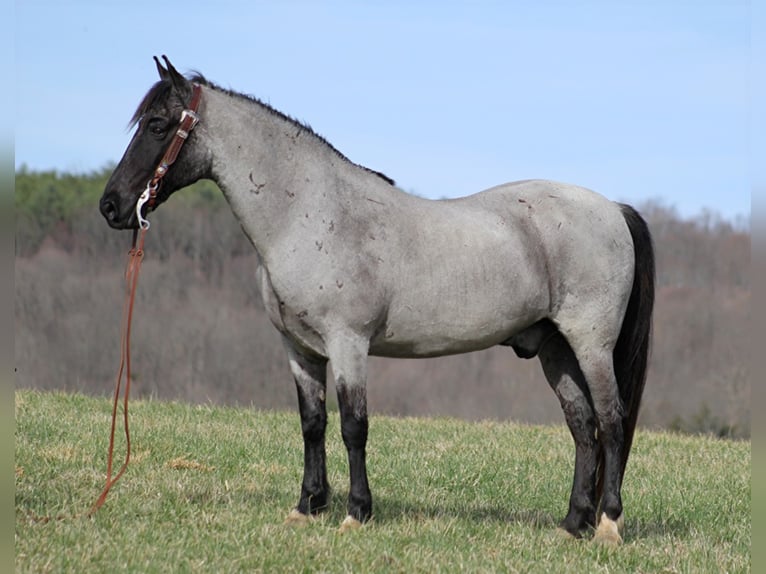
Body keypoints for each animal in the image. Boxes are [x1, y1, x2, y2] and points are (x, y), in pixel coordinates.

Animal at [100, 58, 656, 548]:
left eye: (156, 125)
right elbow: (313, 424)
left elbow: (354, 426)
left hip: (590, 345)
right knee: (583, 429)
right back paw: (572, 524)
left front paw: (356, 513)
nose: (111, 206)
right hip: (555, 350)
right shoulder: (300, 350)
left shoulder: (349, 345)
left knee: (610, 423)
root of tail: (613, 208)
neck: (312, 213)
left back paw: (607, 525)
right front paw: (307, 508)